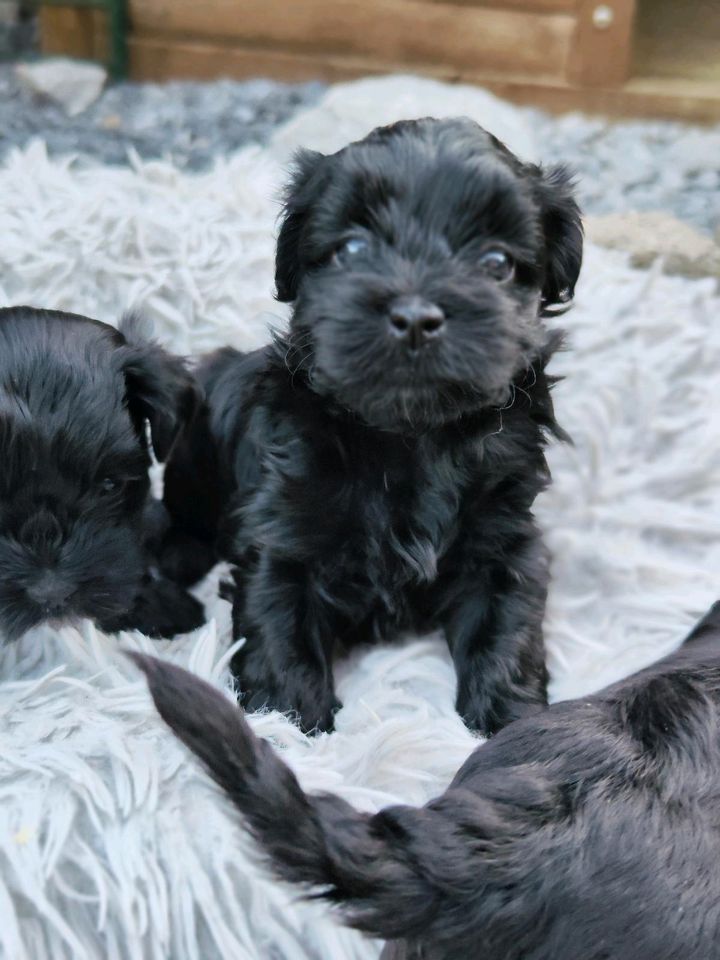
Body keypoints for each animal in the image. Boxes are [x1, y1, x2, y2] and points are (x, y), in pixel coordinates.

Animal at [160, 120, 584, 736]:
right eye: (353, 249)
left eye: (498, 263)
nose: (415, 317)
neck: (410, 434)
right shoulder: (282, 533)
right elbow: (280, 625)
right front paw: (288, 725)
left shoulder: (504, 536)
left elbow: (507, 625)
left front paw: (510, 722)